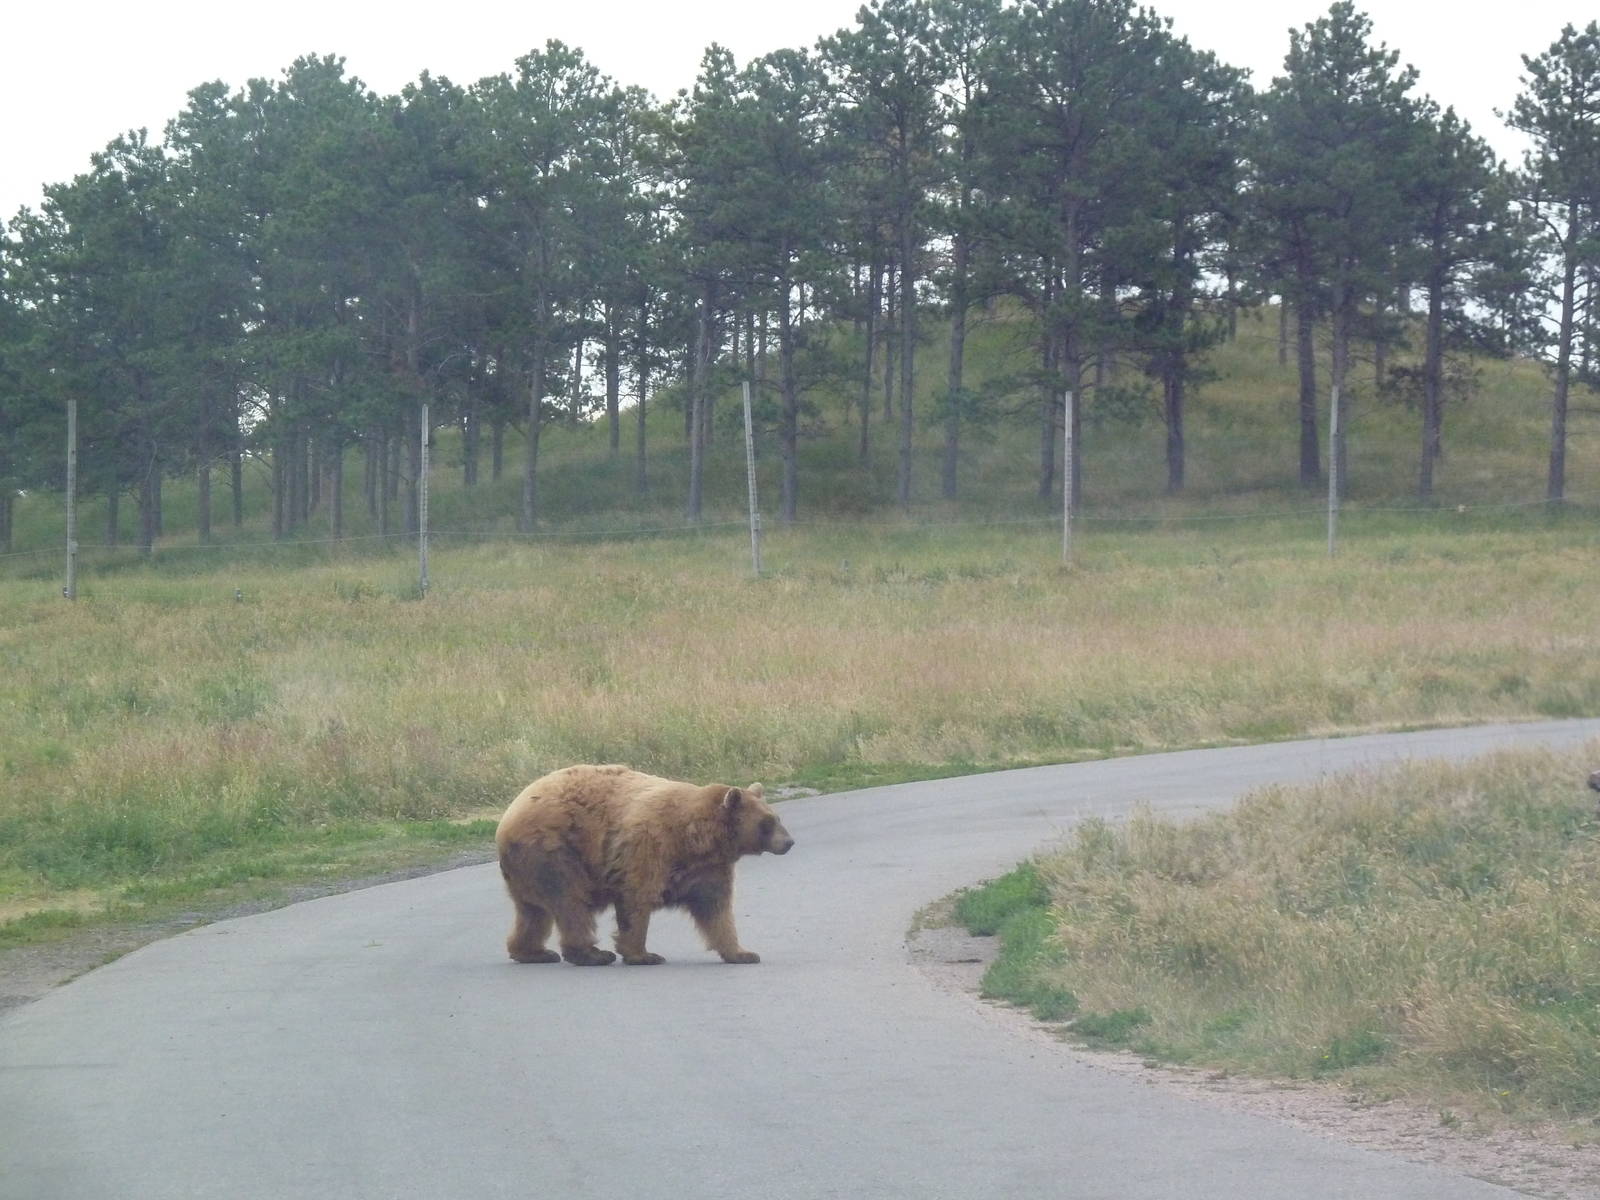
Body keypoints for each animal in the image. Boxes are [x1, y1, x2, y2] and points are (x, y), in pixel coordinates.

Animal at [495, 764, 795, 966]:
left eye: (776, 817)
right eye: (767, 822)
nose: (789, 842)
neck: (697, 838)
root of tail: (507, 820)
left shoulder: (709, 868)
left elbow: (716, 909)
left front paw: (743, 953)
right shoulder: (649, 846)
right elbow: (636, 899)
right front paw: (643, 954)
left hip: (529, 866)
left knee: (534, 912)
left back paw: (532, 952)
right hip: (556, 850)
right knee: (571, 902)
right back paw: (592, 954)